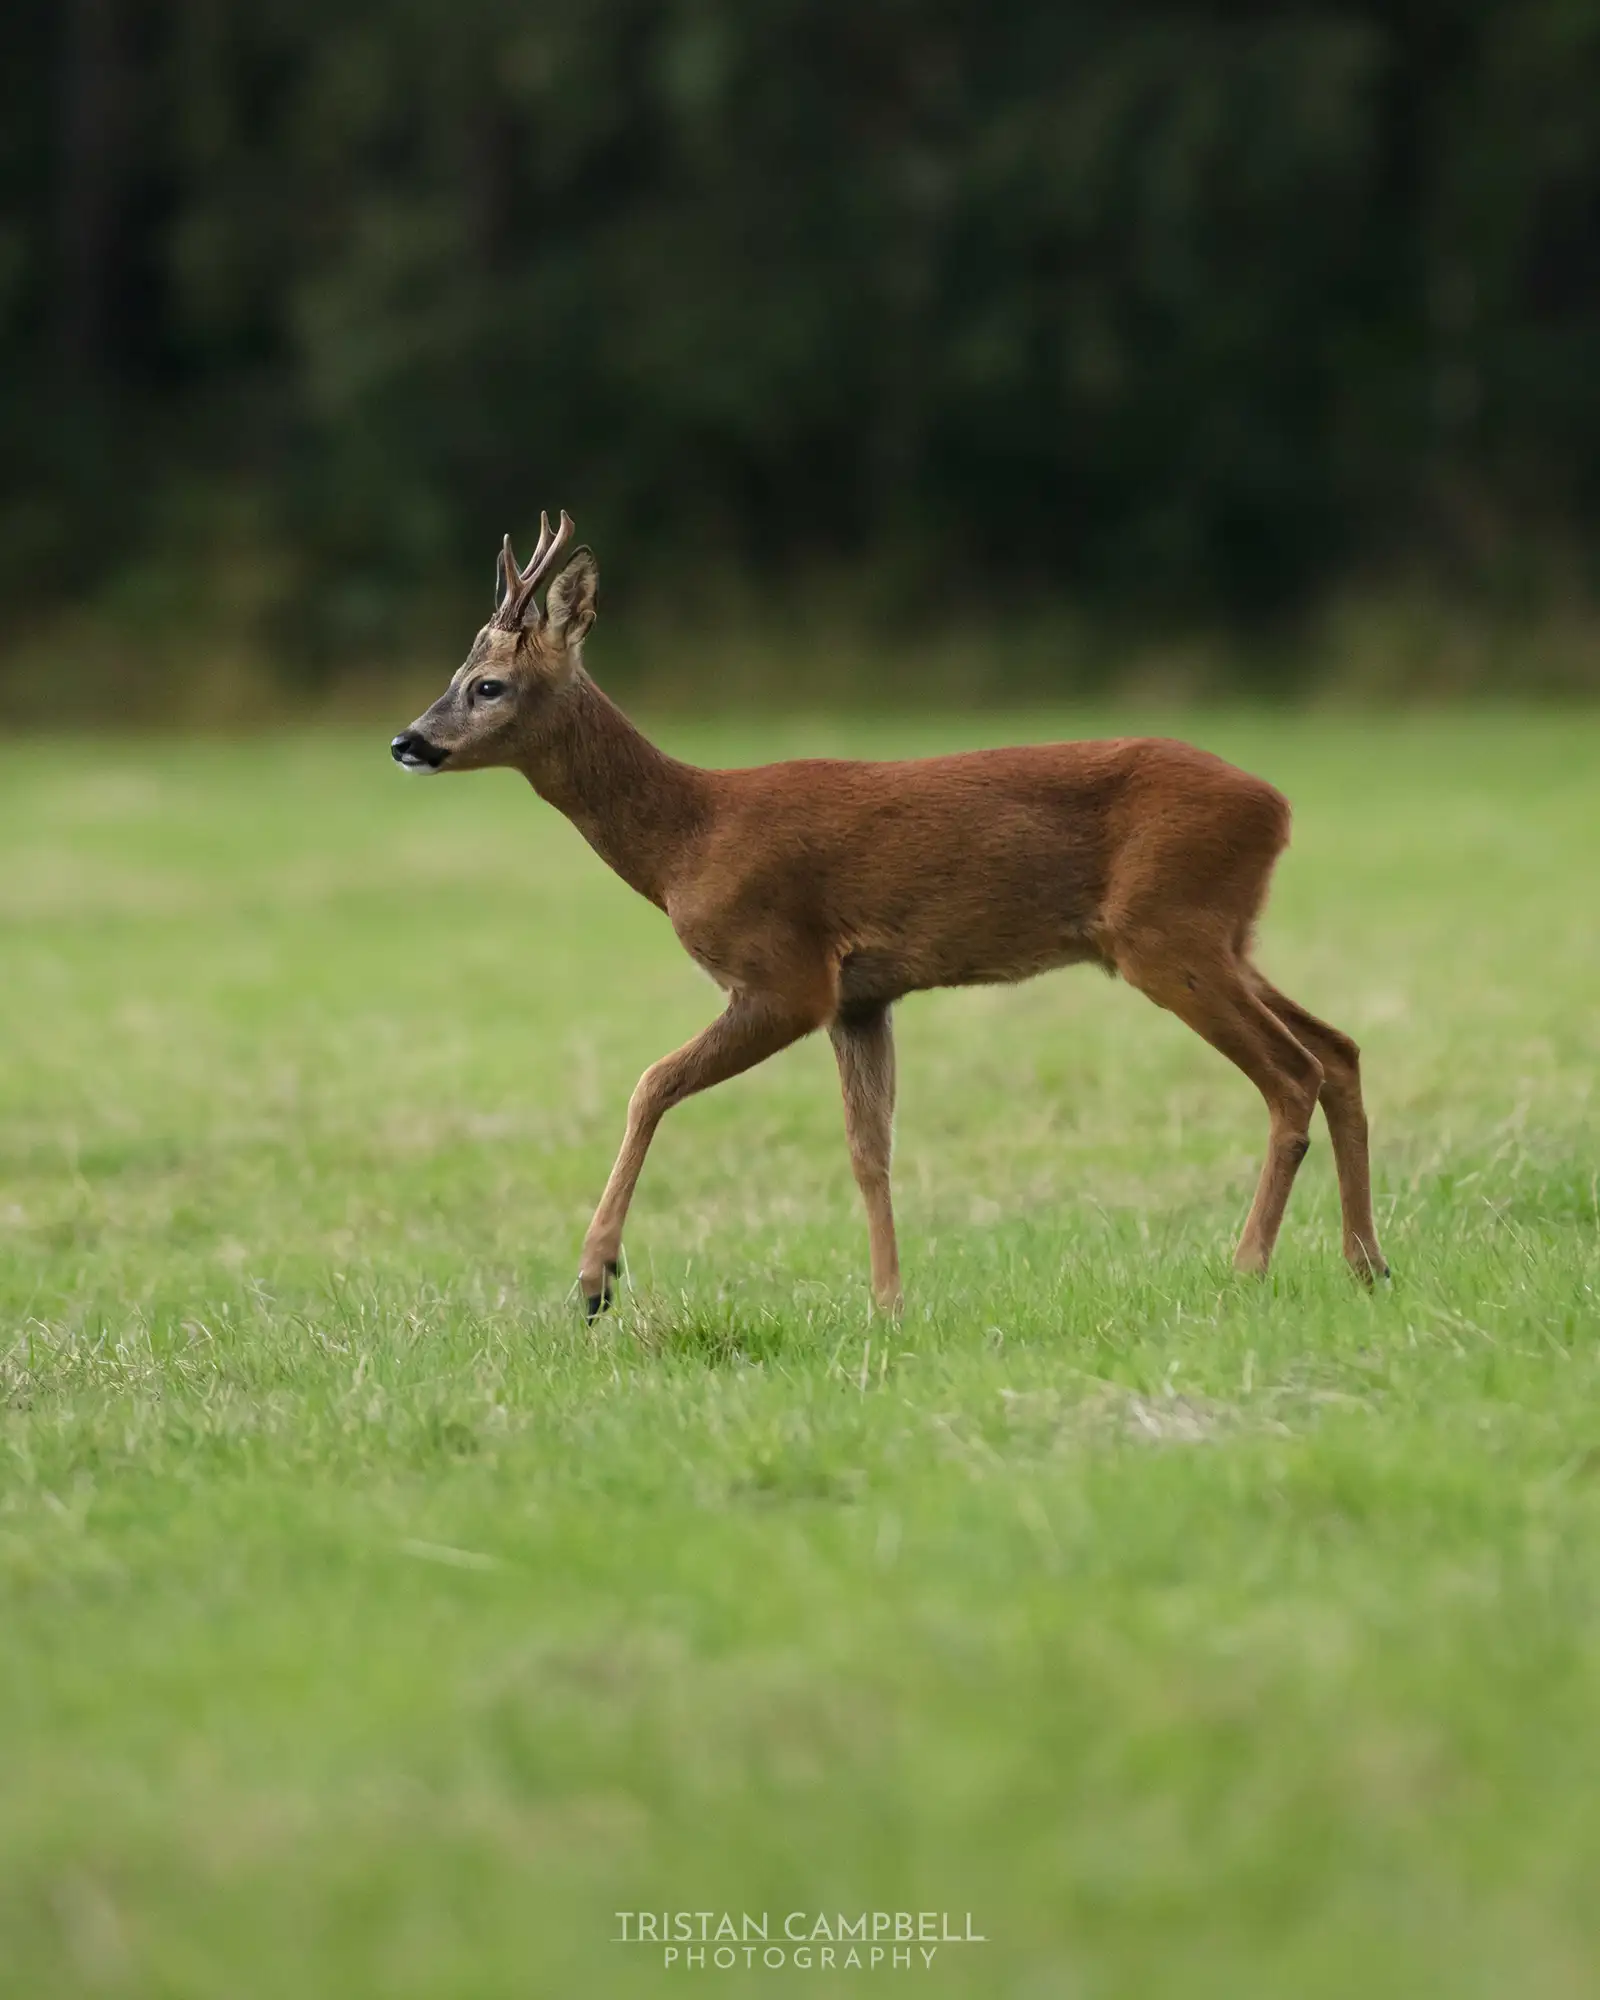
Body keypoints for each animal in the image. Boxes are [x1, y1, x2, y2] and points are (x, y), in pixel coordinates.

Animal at [391, 510, 1387, 1319]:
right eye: (455, 673)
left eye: (488, 685)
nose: (409, 741)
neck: (687, 840)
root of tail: (1277, 806)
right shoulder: (862, 997)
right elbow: (870, 1150)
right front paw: (888, 1304)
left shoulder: (786, 975)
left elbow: (651, 1083)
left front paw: (595, 1278)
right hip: (1223, 933)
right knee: (1339, 1049)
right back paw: (1366, 1262)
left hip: (1166, 932)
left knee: (1292, 1072)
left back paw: (1250, 1265)